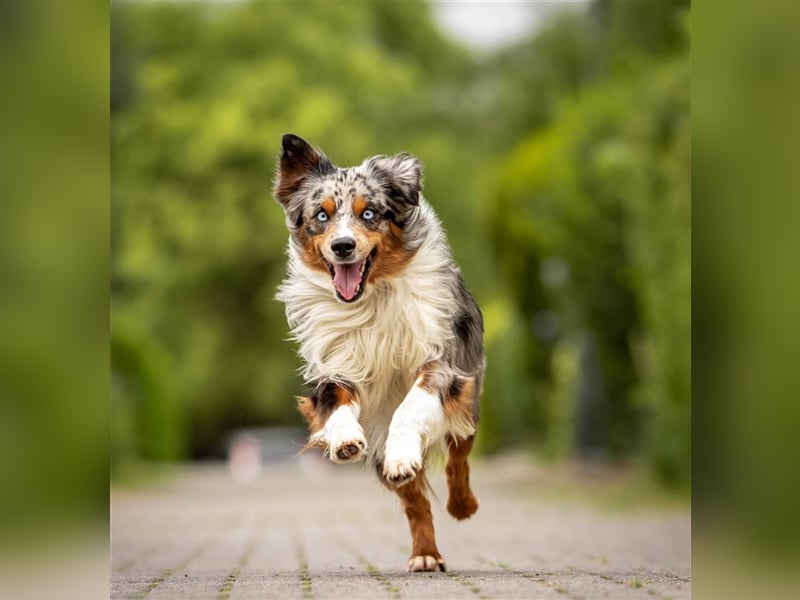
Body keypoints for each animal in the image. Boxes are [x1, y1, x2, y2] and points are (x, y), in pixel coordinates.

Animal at [272, 135, 484, 572]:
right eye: (322, 215)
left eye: (368, 213)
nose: (343, 246)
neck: (371, 299)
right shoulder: (336, 366)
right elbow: (336, 403)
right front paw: (344, 438)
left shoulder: (440, 363)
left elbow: (411, 407)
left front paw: (403, 453)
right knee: (415, 501)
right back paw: (425, 554)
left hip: (468, 403)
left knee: (458, 456)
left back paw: (461, 505)